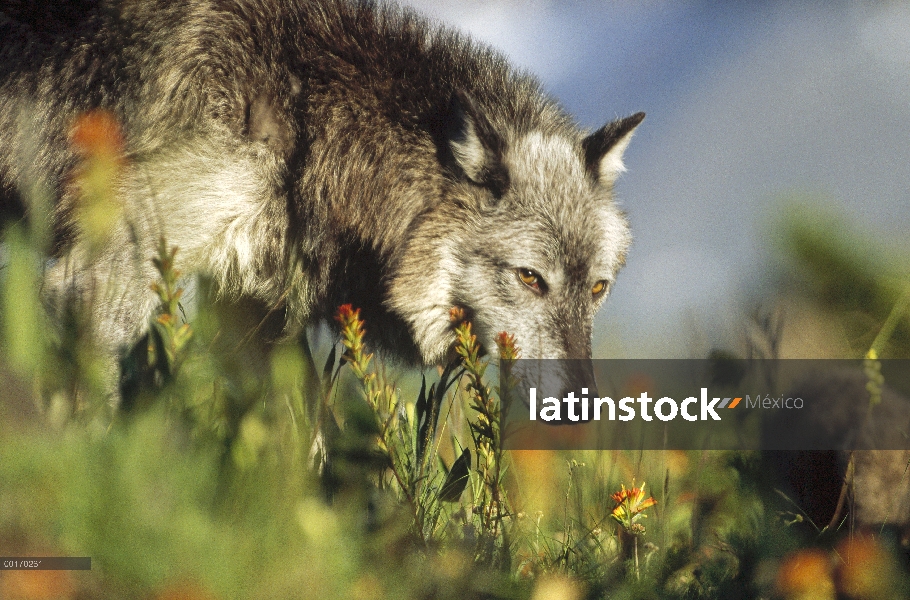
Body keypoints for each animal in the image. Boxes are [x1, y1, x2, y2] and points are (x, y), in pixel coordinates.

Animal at [0, 1, 644, 398]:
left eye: (597, 289)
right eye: (530, 278)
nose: (584, 403)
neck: (305, 118)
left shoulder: (249, 311)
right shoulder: (97, 279)